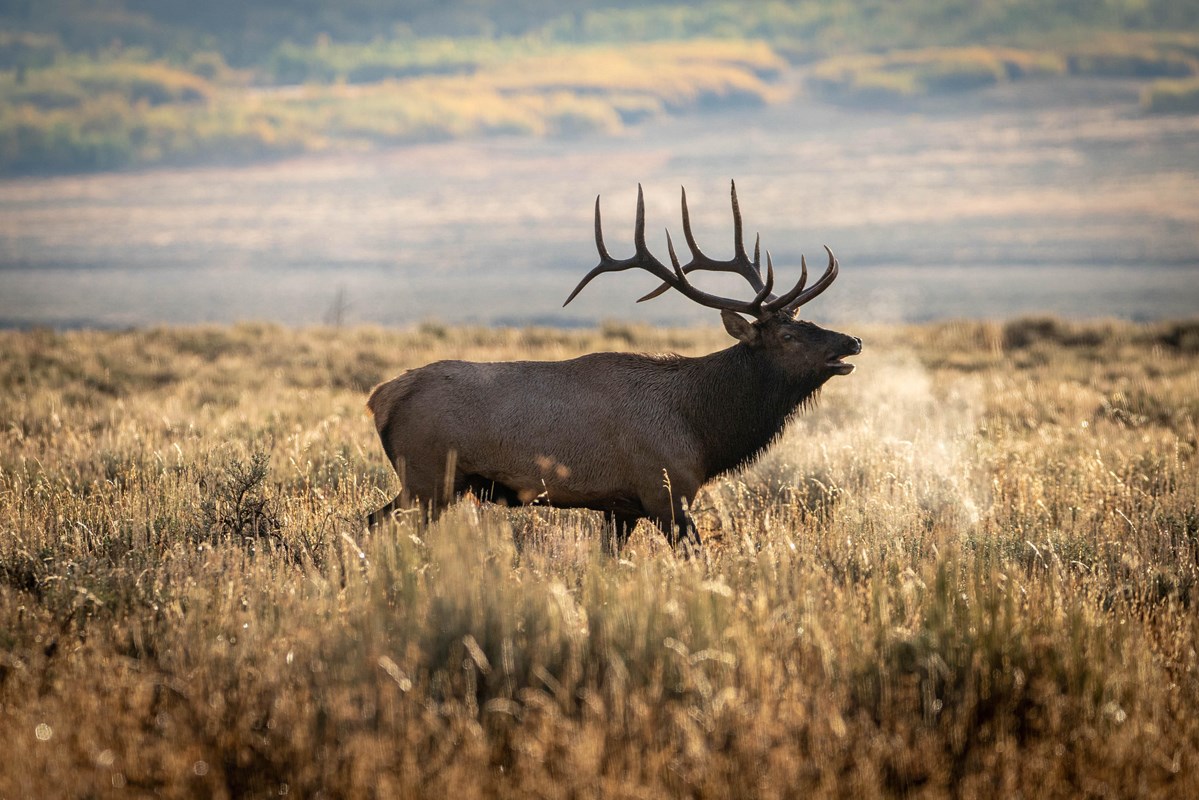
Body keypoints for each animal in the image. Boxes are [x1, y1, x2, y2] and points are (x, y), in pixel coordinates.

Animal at [366, 181, 861, 549]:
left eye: (804, 320)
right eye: (787, 336)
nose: (852, 341)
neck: (703, 430)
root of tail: (379, 398)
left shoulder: (619, 507)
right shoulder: (665, 492)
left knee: (372, 519)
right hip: (428, 476)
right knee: (380, 523)